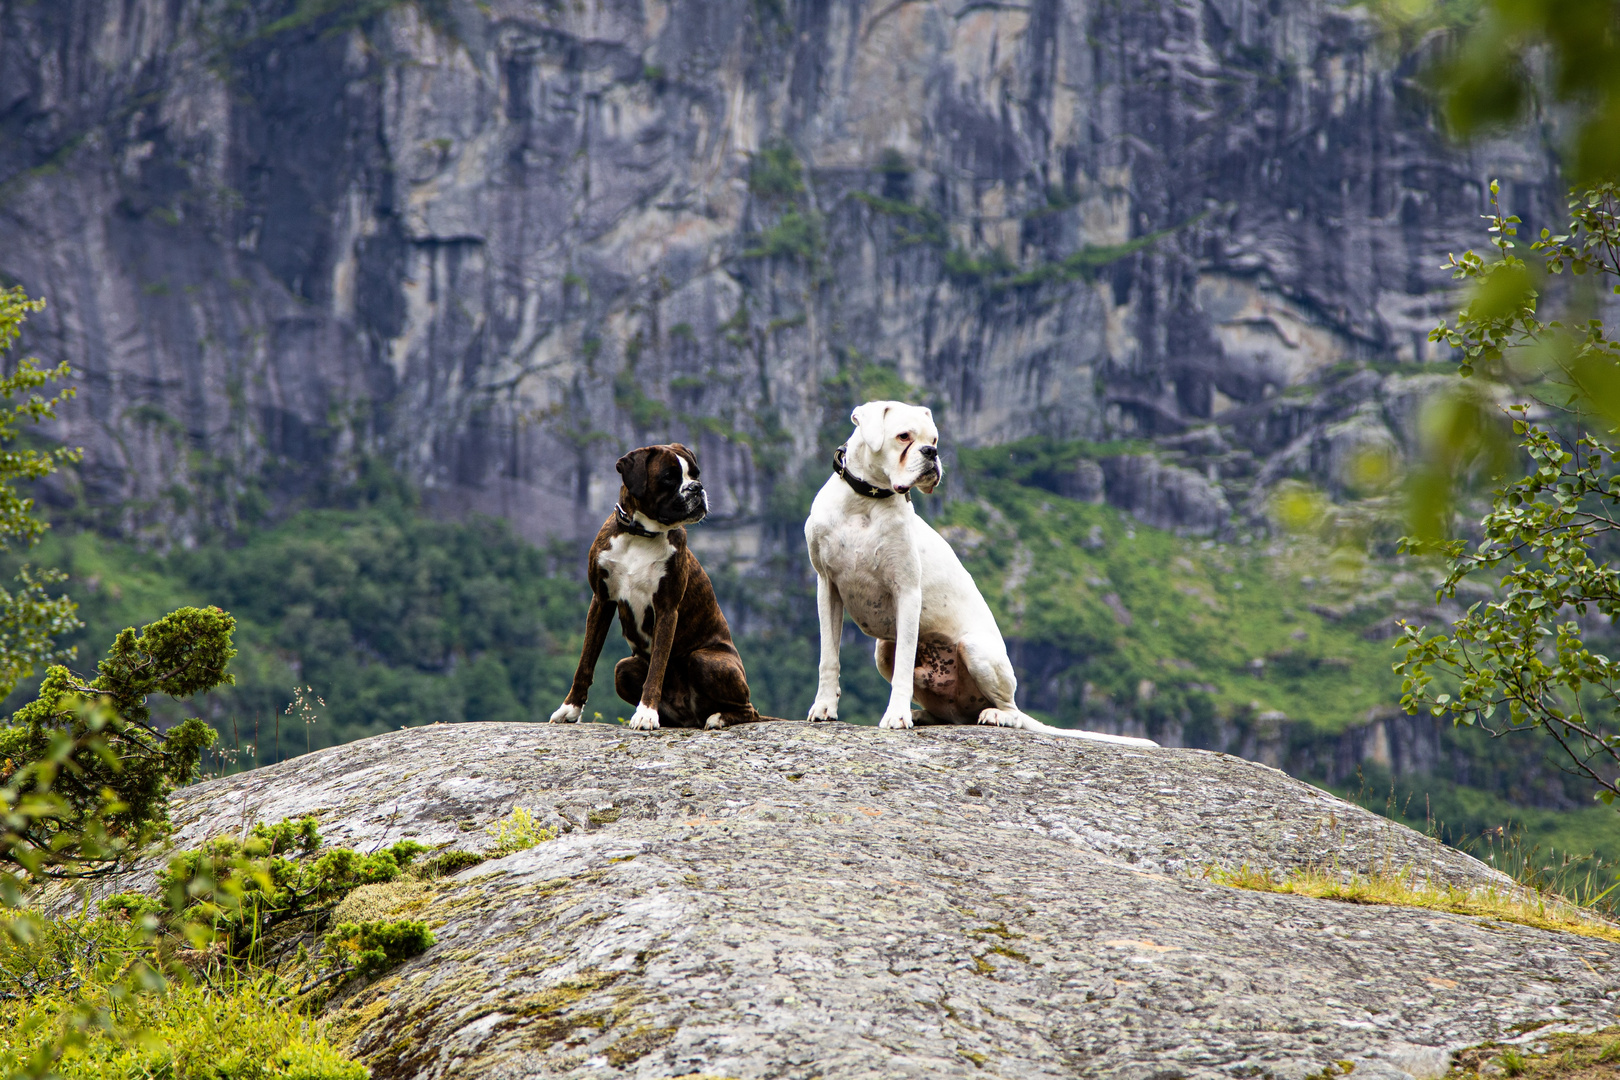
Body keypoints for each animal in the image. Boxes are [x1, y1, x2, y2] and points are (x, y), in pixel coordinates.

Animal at [547, 443, 774, 731]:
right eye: (668, 477)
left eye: (696, 474)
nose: (697, 488)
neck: (640, 536)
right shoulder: (601, 601)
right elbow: (585, 662)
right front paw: (570, 709)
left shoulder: (666, 610)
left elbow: (657, 666)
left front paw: (646, 713)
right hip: (624, 668)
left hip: (704, 660)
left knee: (749, 709)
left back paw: (718, 717)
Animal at [803, 401, 1159, 748]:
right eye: (904, 436)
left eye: (934, 439)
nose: (931, 453)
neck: (863, 502)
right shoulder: (828, 588)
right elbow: (828, 657)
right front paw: (824, 706)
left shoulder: (907, 592)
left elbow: (903, 663)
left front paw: (897, 716)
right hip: (884, 652)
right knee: (948, 713)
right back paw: (925, 714)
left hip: (975, 648)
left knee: (1010, 709)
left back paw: (995, 715)